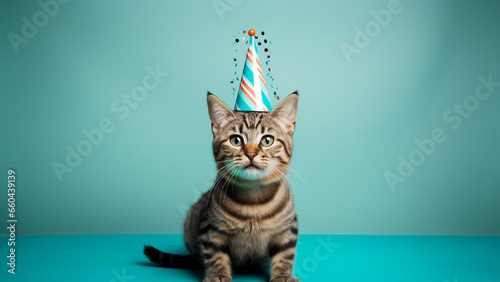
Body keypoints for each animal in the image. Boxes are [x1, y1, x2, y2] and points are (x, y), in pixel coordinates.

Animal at [145, 92, 300, 282]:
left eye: (267, 140)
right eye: (236, 140)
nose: (251, 153)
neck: (253, 201)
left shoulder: (288, 229)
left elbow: (285, 255)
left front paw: (284, 276)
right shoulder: (210, 227)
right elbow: (215, 255)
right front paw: (218, 275)